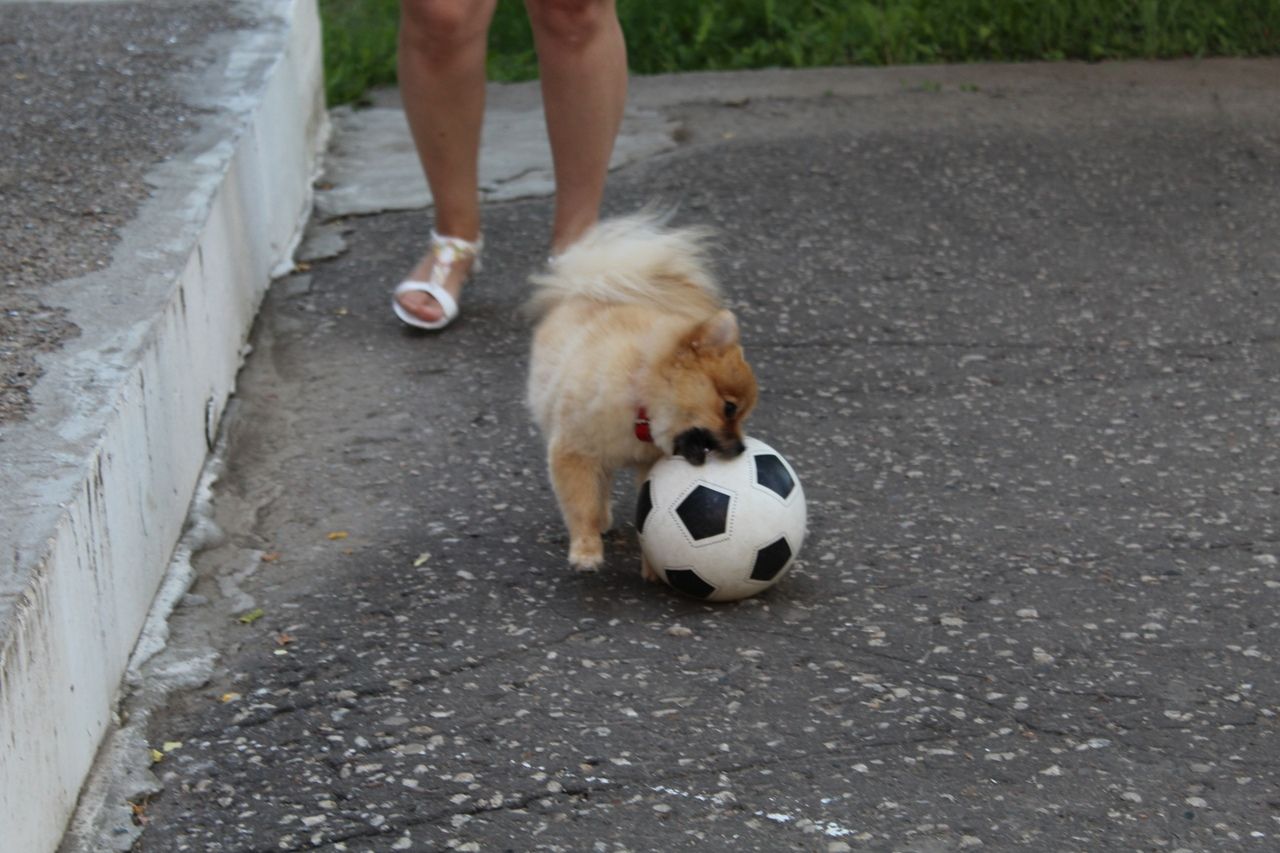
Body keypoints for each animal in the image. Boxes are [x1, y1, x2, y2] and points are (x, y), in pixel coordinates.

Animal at [524, 211, 752, 571]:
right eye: (730, 408)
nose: (743, 448)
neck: (639, 399)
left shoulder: (649, 463)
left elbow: (648, 511)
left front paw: (651, 567)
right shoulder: (573, 453)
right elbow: (581, 504)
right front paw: (586, 550)